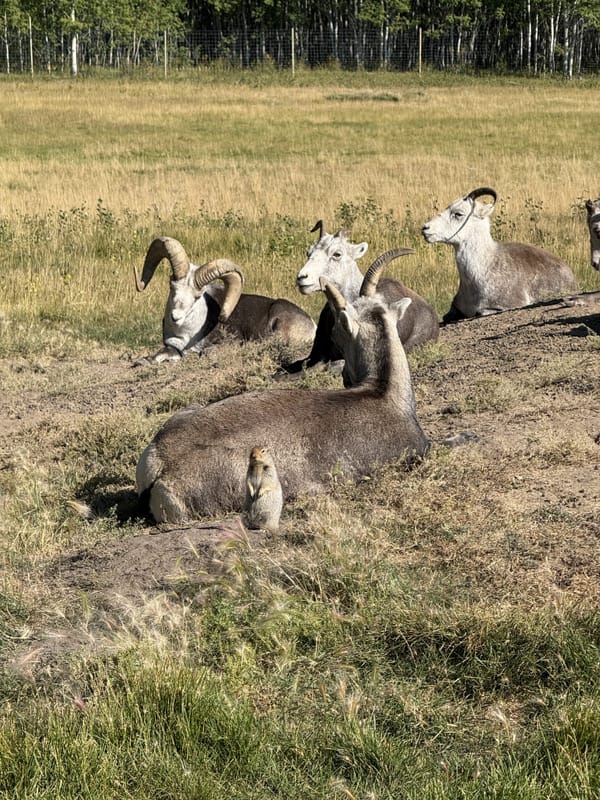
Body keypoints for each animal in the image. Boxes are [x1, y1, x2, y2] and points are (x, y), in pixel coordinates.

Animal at [133, 236, 316, 365]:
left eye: (197, 296)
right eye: (172, 286)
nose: (176, 316)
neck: (186, 333)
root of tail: (312, 325)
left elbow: (205, 352)